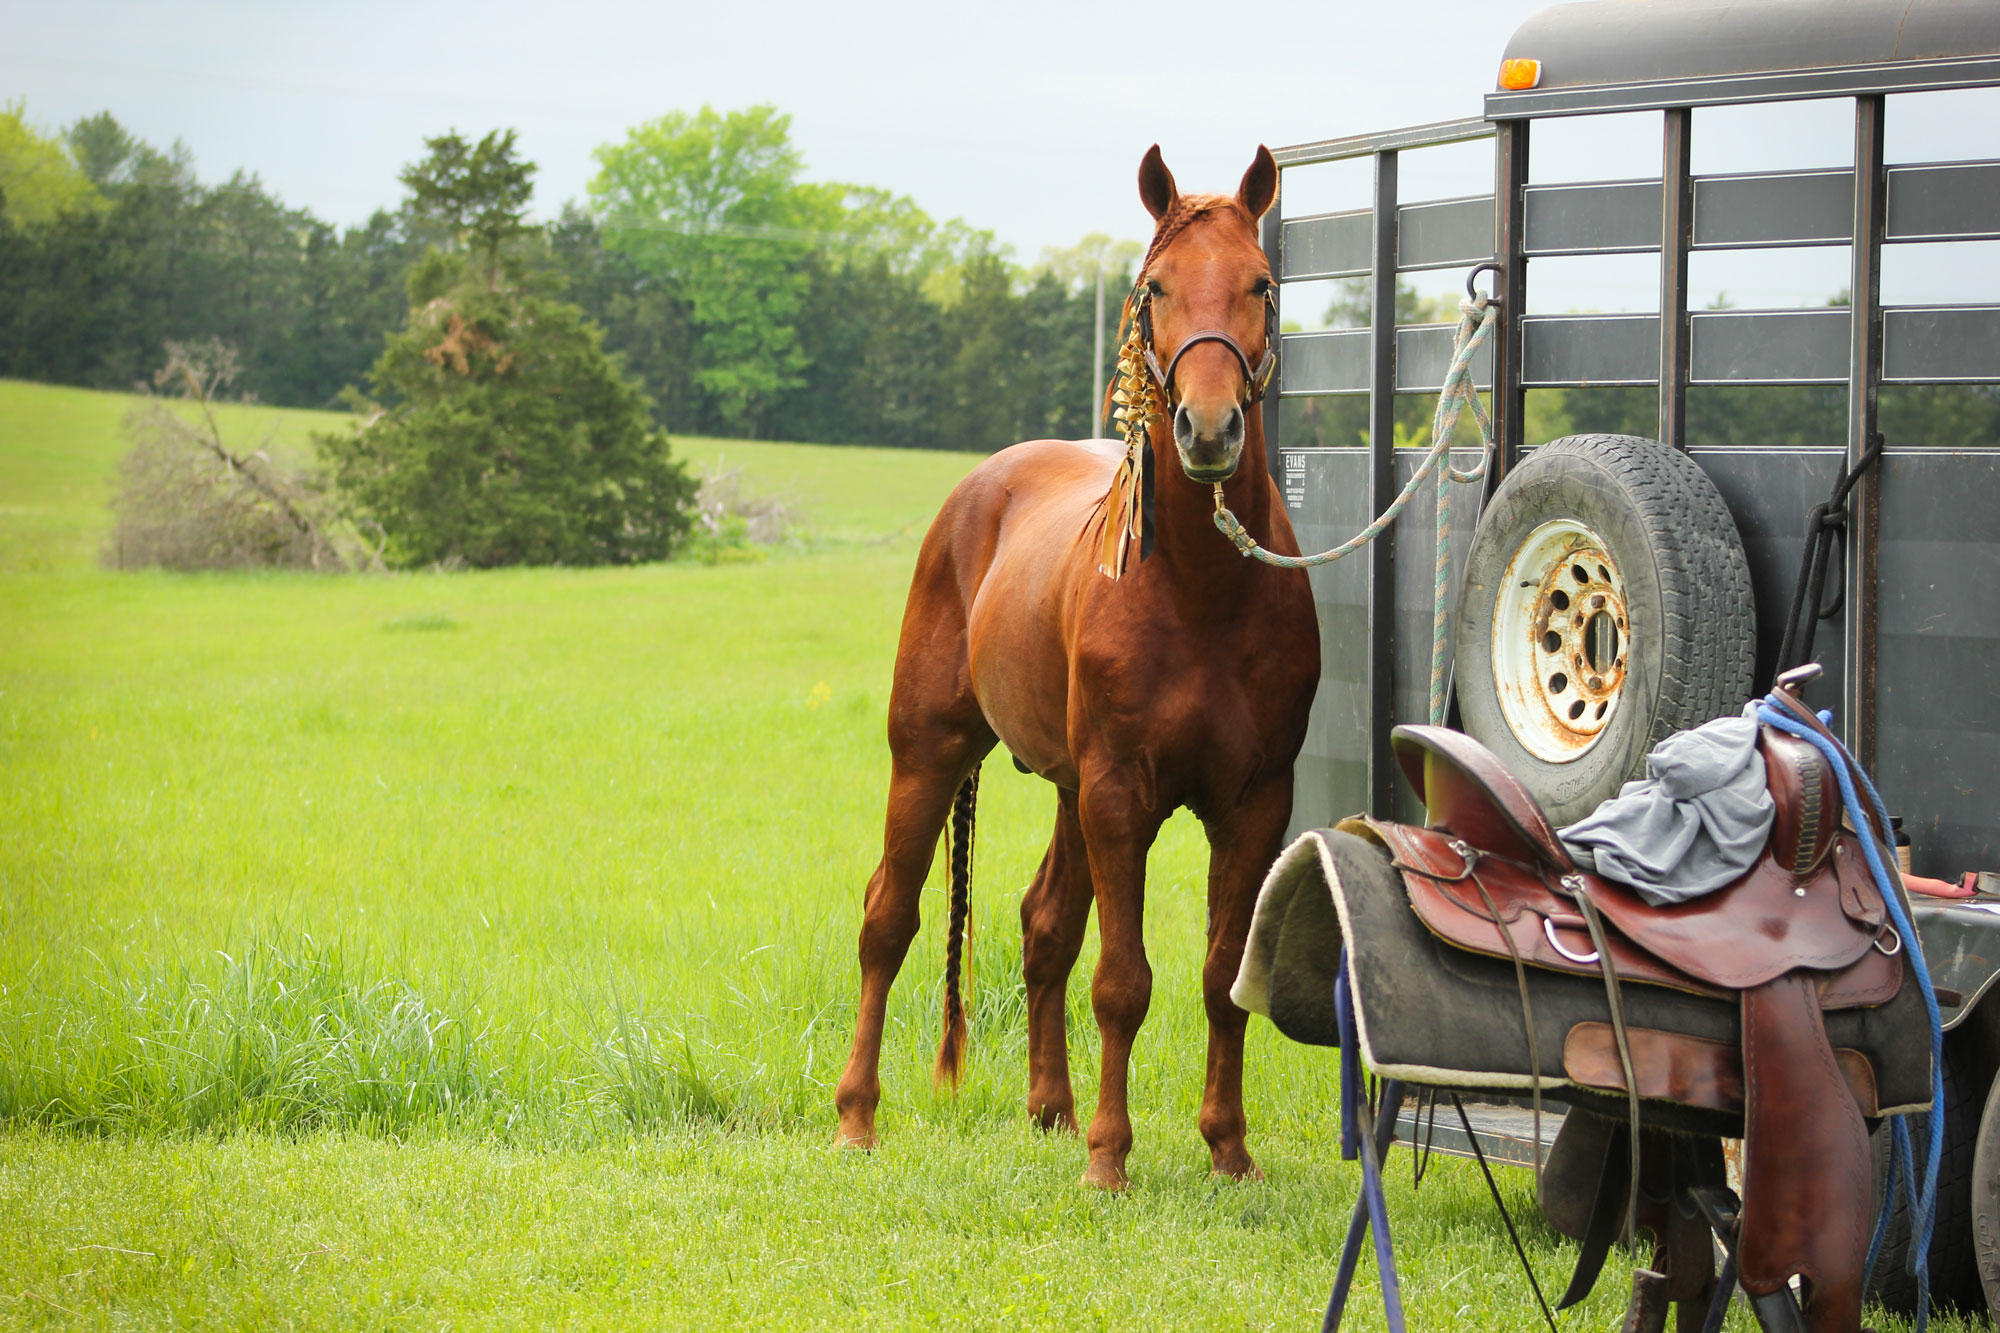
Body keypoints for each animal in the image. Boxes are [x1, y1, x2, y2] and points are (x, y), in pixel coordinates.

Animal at [833, 145, 1322, 1189]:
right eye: (1154, 288)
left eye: (1260, 284)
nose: (1208, 429)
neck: (1202, 591)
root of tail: (981, 484)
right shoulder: (1119, 793)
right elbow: (1123, 981)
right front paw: (1110, 1158)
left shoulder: (1254, 803)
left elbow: (1221, 976)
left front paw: (1228, 1147)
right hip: (929, 754)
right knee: (889, 917)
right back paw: (858, 1116)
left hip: (1064, 787)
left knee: (1043, 922)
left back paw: (1049, 1106)